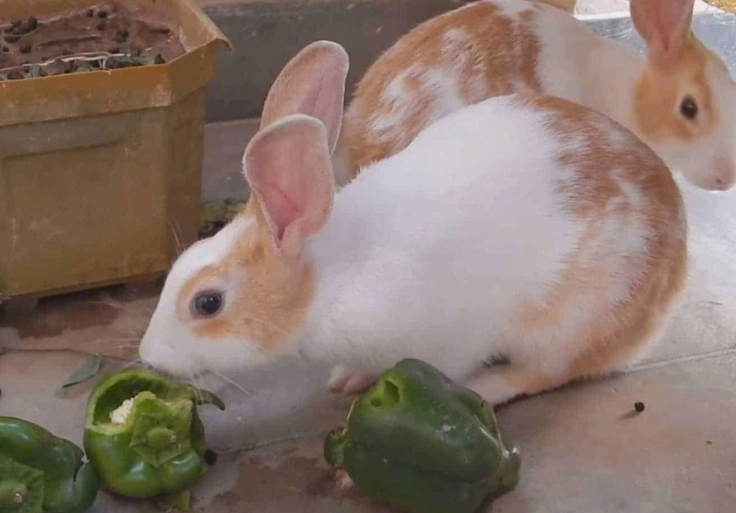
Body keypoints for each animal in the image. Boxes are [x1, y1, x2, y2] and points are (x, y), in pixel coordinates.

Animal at [138, 40, 687, 407]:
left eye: (207, 303)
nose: (148, 357)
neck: (330, 282)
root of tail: (673, 278)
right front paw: (347, 378)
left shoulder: (451, 340)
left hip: (574, 319)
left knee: (544, 372)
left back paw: (487, 388)